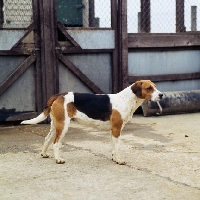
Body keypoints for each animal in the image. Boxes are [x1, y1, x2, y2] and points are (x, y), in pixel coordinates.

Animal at [21, 80, 163, 165]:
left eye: (155, 87)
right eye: (149, 88)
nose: (161, 95)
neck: (126, 99)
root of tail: (59, 95)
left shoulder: (113, 131)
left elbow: (113, 147)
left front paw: (114, 158)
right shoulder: (117, 129)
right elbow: (117, 147)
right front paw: (118, 160)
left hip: (56, 126)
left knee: (47, 139)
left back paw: (44, 154)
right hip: (63, 126)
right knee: (55, 143)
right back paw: (58, 159)